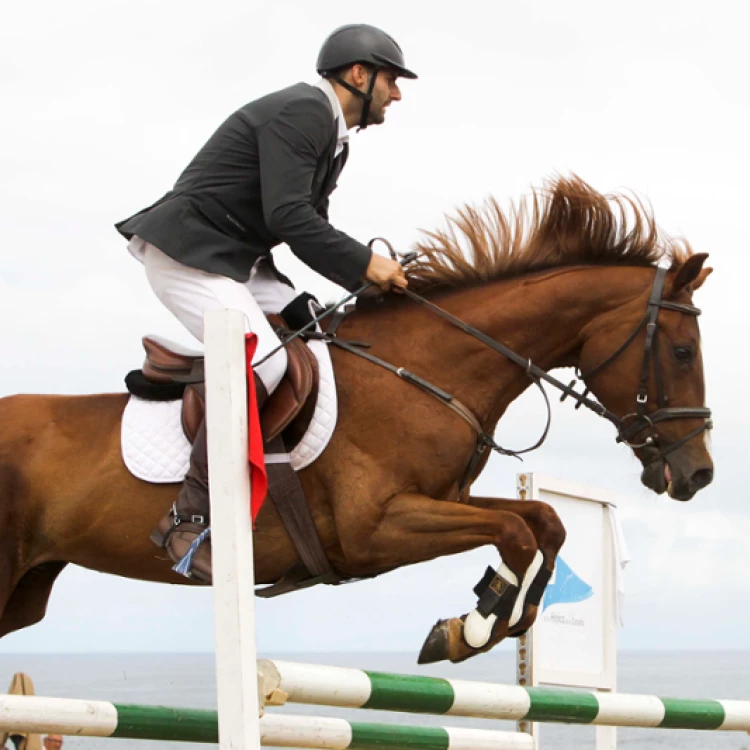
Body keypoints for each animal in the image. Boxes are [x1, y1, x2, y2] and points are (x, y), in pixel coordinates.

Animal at [0, 178, 716, 664]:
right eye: (683, 352)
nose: (698, 475)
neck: (425, 368)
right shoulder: (377, 528)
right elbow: (515, 531)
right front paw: (470, 629)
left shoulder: (445, 498)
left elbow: (545, 522)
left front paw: (489, 615)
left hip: (26, 591)